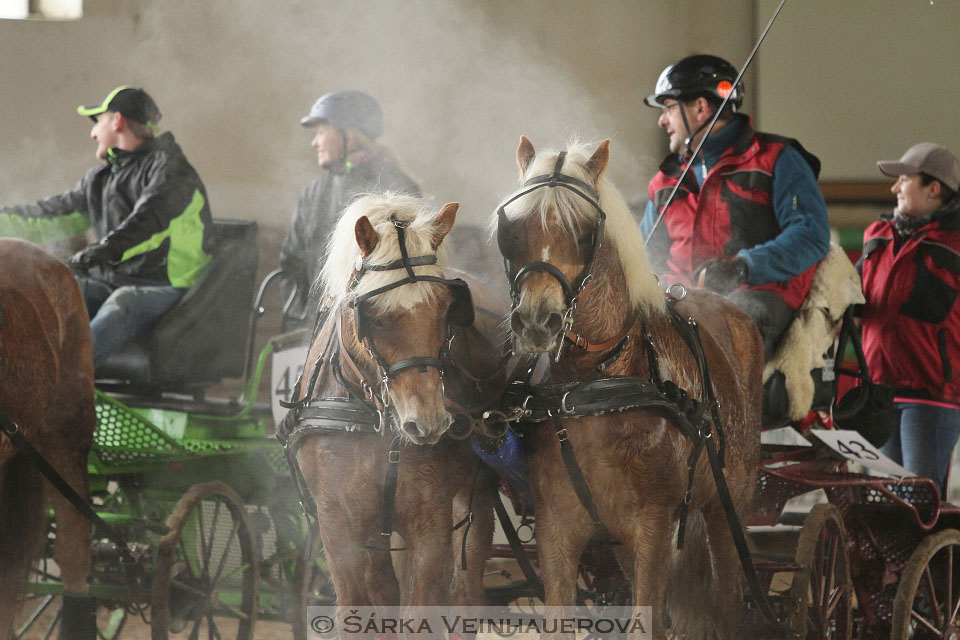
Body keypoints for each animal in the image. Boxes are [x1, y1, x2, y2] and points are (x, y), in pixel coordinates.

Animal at [284, 195, 506, 620]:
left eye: (446, 309)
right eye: (371, 314)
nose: (428, 421)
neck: (379, 425)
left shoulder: (431, 523)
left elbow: (421, 609)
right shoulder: (338, 525)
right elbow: (358, 608)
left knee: (465, 587)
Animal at [498, 138, 760, 636]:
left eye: (584, 232)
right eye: (513, 230)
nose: (538, 322)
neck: (595, 385)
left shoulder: (655, 526)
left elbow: (648, 617)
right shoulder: (555, 525)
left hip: (728, 506)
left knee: (728, 601)